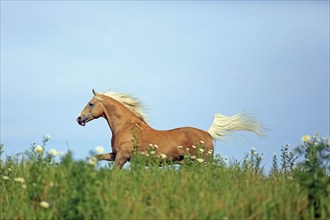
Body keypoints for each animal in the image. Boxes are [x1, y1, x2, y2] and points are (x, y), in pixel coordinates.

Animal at [76, 88, 264, 169]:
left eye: (91, 103)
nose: (79, 119)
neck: (126, 128)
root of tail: (208, 134)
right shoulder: (115, 155)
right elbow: (96, 157)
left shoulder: (122, 156)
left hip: (203, 162)